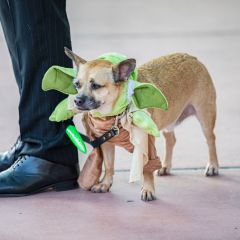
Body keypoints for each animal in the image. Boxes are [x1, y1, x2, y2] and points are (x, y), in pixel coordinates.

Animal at [64, 47, 218, 201]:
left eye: (96, 86)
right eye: (76, 85)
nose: (77, 100)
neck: (114, 115)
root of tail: (191, 57)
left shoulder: (146, 145)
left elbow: (146, 169)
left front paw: (148, 189)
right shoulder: (106, 142)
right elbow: (108, 165)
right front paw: (105, 184)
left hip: (205, 115)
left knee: (210, 139)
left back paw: (213, 166)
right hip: (169, 119)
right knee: (171, 140)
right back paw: (165, 166)